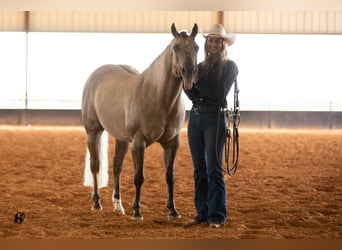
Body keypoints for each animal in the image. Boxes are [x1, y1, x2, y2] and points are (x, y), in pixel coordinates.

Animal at [81, 22, 199, 220]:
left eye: (197, 47)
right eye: (176, 47)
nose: (188, 73)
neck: (158, 96)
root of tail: (94, 76)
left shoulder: (172, 142)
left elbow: (170, 176)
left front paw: (173, 210)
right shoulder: (139, 141)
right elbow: (139, 177)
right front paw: (137, 211)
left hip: (121, 138)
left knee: (117, 167)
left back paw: (118, 205)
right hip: (93, 132)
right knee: (95, 166)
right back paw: (97, 203)